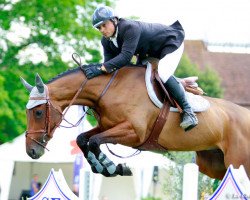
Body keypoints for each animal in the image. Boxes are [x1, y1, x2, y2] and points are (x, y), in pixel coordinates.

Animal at [21, 65, 250, 180]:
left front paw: (112, 167)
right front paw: (106, 167)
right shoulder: (108, 127)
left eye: (38, 112)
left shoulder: (133, 133)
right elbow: (83, 139)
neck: (110, 90)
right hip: (214, 165)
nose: (31, 152)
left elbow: (94, 141)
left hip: (239, 163)